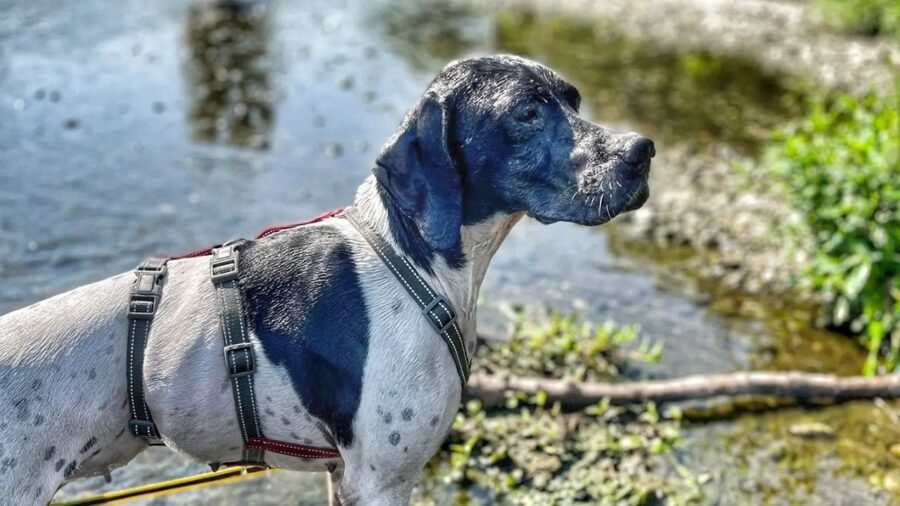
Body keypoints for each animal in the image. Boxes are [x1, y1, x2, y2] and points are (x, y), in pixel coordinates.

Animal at [0, 53, 652, 504]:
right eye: (526, 112)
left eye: (573, 99)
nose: (642, 150)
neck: (409, 257)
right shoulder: (381, 480)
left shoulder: (345, 475)